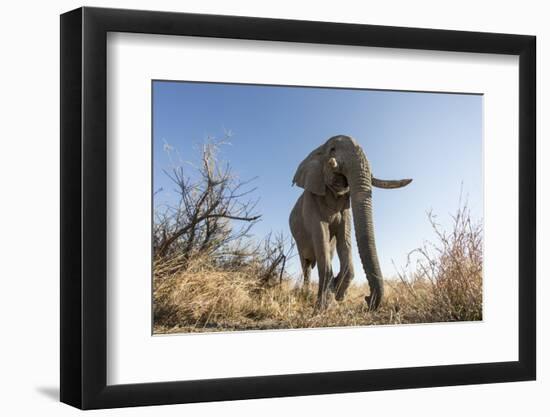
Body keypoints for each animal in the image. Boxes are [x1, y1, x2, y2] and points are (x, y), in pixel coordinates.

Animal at [288, 135, 414, 310]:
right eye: (332, 149)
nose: (367, 298)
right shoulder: (311, 200)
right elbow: (321, 235)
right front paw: (325, 306)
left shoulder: (344, 209)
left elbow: (344, 239)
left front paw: (337, 294)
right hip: (298, 241)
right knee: (306, 265)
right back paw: (305, 295)